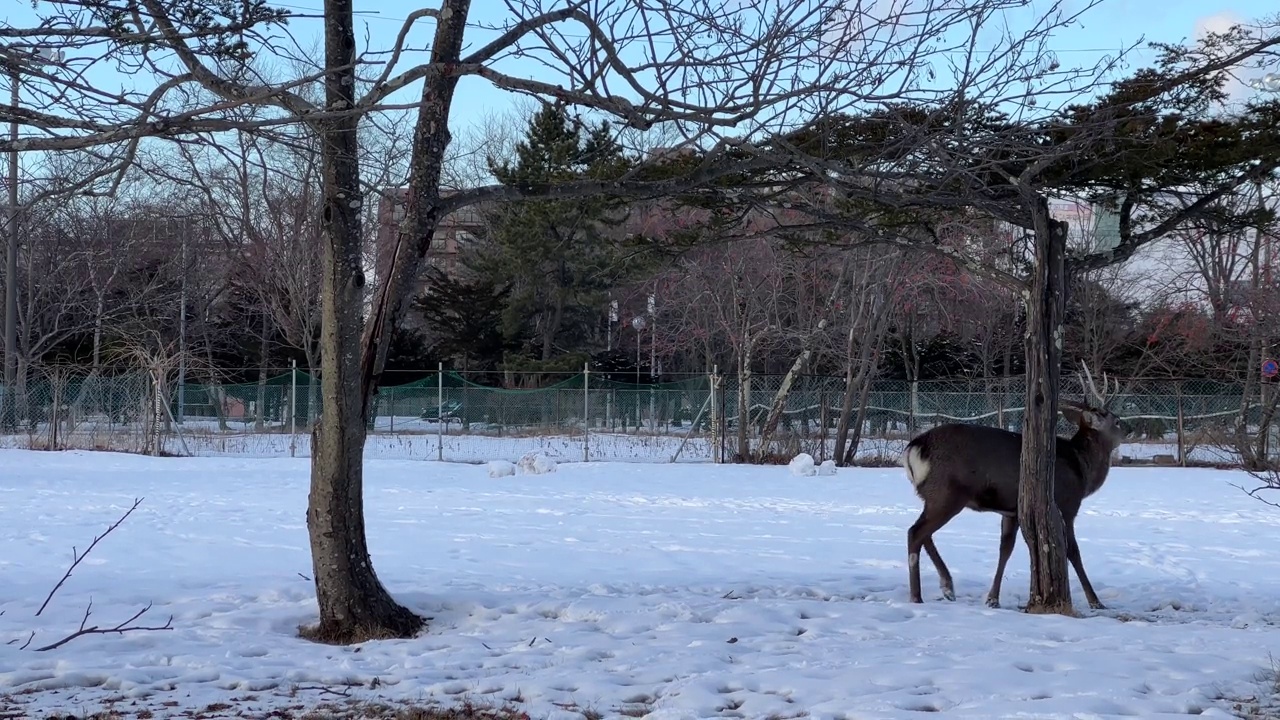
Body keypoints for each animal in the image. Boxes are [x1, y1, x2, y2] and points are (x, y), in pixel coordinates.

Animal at [901, 363, 1121, 609]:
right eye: (1115, 420)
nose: (1128, 427)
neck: (1081, 468)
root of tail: (914, 448)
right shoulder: (1067, 504)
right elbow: (1073, 551)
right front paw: (1095, 601)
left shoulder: (1011, 511)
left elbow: (1005, 549)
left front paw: (992, 598)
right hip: (947, 493)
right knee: (915, 532)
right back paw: (917, 596)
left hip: (933, 496)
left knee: (923, 533)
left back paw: (947, 586)